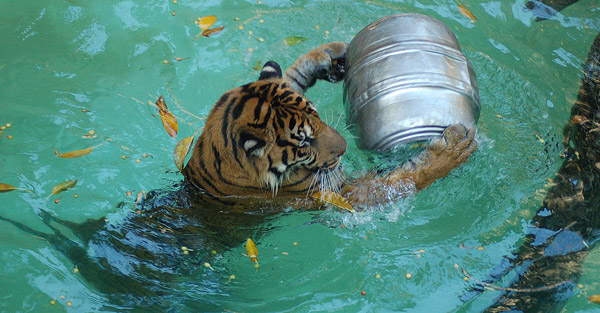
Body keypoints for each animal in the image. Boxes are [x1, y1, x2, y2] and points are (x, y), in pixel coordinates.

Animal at [180, 41, 476, 204]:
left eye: (317, 115)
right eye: (303, 142)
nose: (344, 150)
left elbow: (292, 76)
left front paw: (330, 55)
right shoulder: (337, 194)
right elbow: (404, 178)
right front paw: (452, 150)